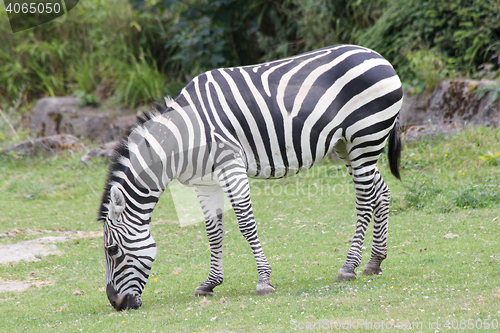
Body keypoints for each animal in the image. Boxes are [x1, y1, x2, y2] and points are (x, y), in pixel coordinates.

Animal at [99, 43, 404, 308]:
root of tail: (378, 56)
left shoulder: (231, 165)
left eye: (112, 250)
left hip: (366, 137)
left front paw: (264, 280)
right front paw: (210, 283)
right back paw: (375, 261)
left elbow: (246, 224)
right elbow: (213, 232)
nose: (116, 304)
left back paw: (349, 266)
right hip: (348, 146)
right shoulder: (204, 182)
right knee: (381, 192)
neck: (183, 137)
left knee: (365, 200)